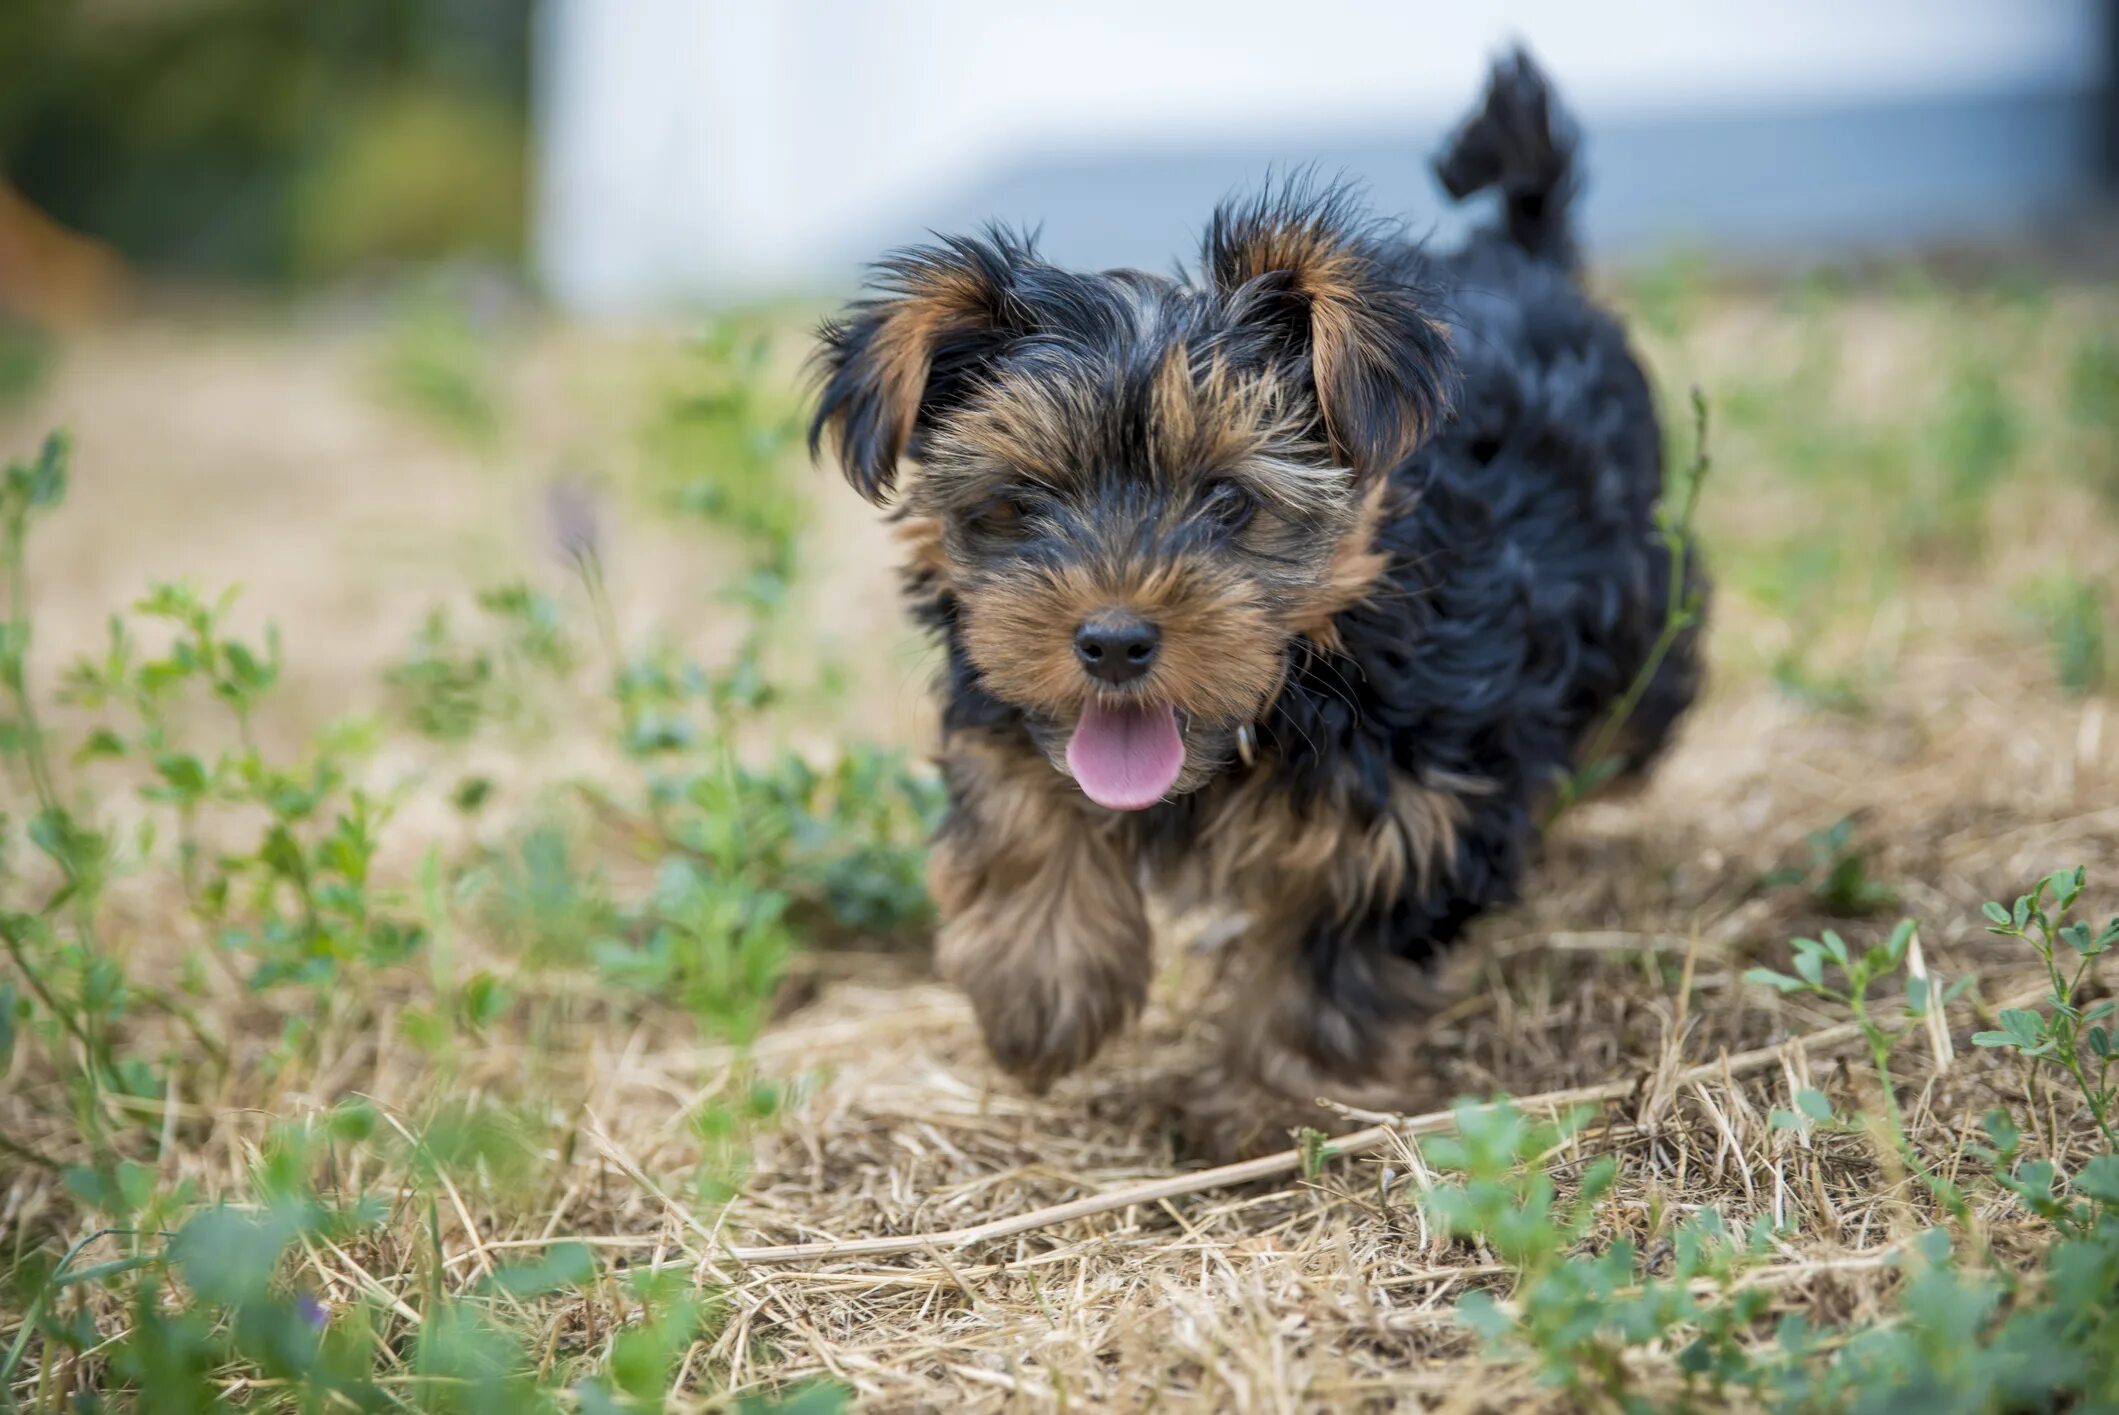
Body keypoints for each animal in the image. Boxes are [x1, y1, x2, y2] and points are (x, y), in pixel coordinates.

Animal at [809, 52, 1703, 1160]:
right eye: (1023, 500)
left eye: (1229, 501)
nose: (1112, 640)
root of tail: (1518, 254)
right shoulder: (999, 683)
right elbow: (1016, 798)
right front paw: (1042, 992)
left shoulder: (1418, 802)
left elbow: (1333, 951)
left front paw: (1278, 1106)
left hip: (1637, 599)